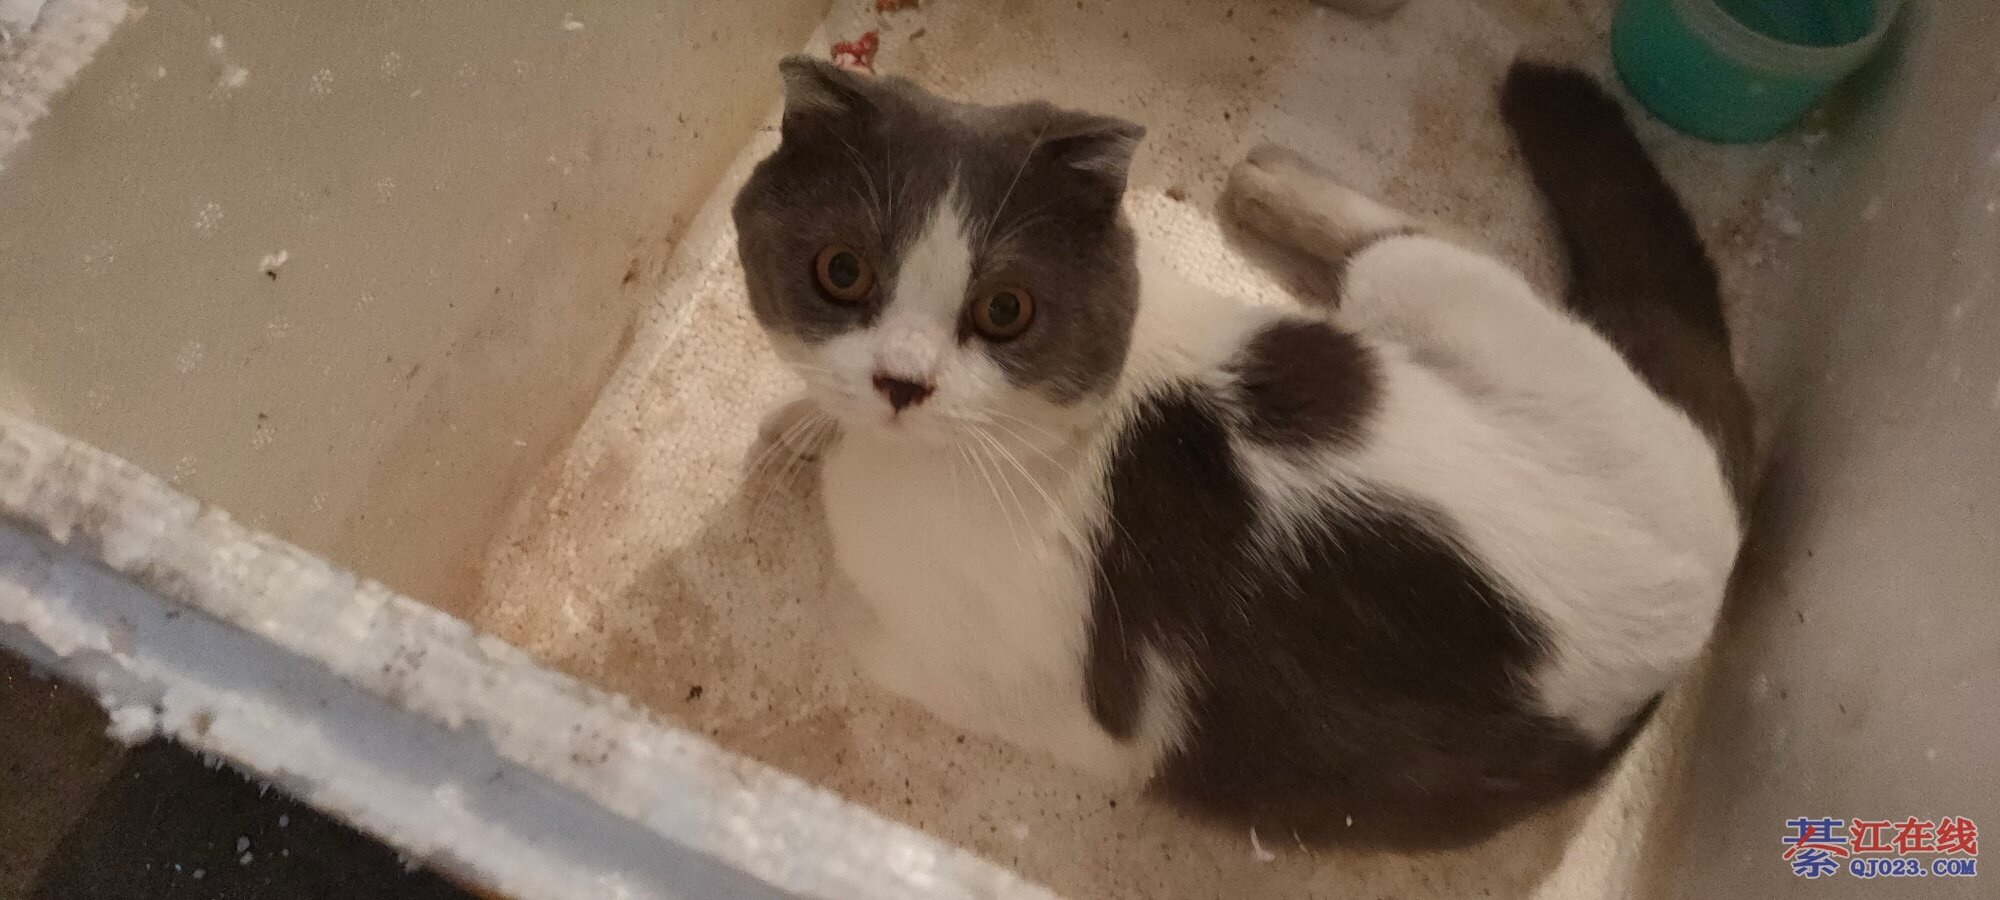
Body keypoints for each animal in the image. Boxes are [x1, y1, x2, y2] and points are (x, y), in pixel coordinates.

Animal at [731, 56, 1753, 849]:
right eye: (842, 271)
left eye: (1005, 310)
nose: (901, 382)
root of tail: (1720, 542)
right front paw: (807, 420)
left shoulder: (1046, 698)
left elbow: (851, 624)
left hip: (1429, 291)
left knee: (1404, 240)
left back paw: (1278, 182)